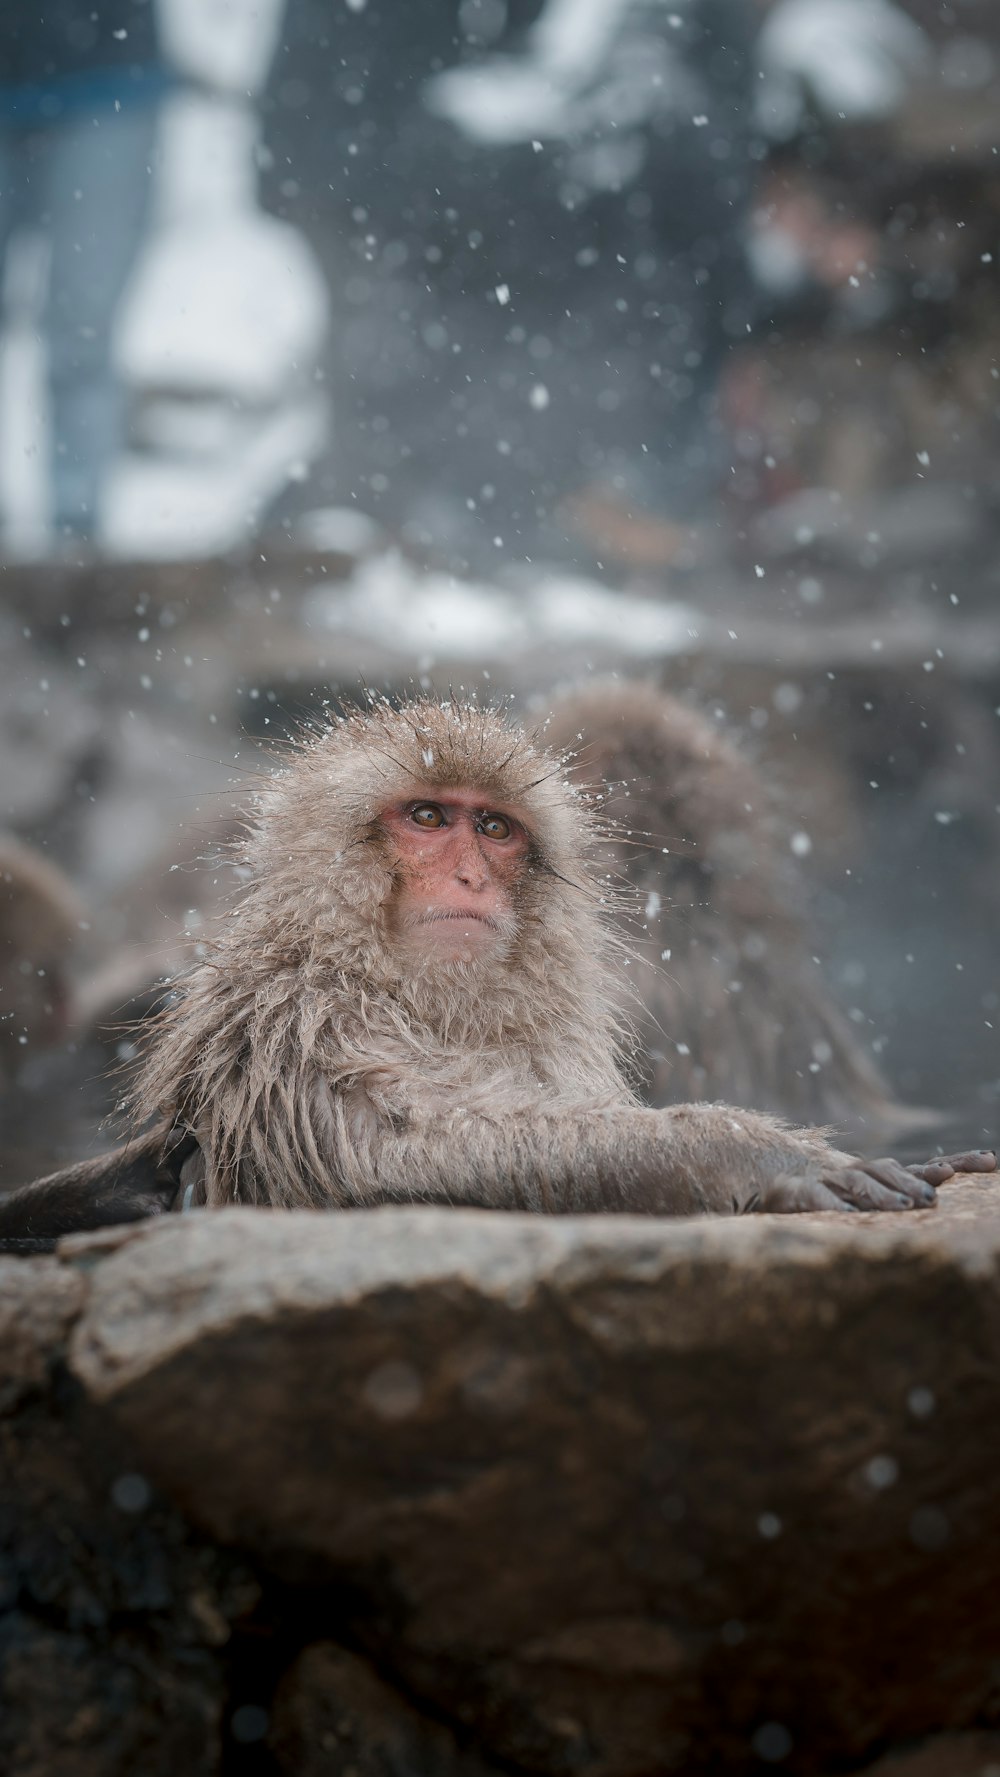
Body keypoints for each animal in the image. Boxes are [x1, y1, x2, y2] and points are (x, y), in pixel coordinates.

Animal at [0, 693, 987, 1251]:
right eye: (429, 816)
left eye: (497, 828)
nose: (473, 876)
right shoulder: (297, 1023)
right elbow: (399, 1157)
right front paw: (748, 1151)